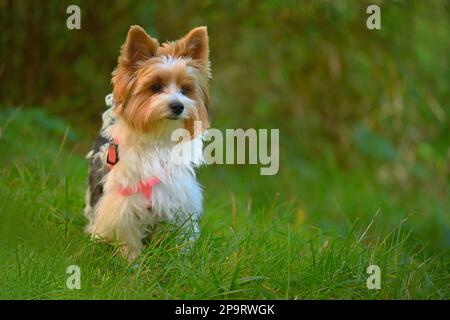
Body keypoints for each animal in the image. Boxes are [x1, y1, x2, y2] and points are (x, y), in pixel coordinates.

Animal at [84, 24, 211, 260]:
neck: (157, 137)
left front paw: (177, 258)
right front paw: (132, 262)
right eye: (155, 87)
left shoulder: (176, 199)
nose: (178, 106)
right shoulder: (122, 202)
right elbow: (128, 237)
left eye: (185, 90)